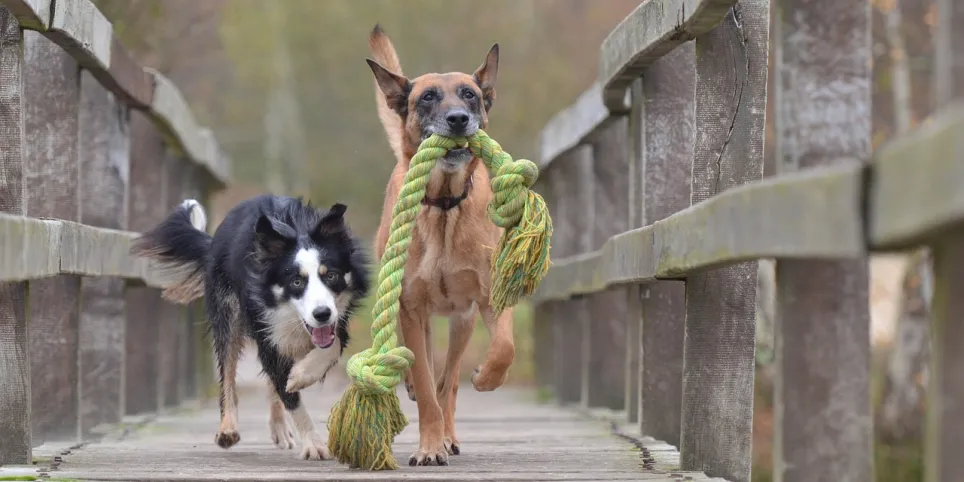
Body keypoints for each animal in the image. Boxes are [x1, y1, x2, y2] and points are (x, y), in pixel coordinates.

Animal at [136, 195, 372, 460]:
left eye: (331, 276)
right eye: (296, 282)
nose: (321, 314)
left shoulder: (338, 319)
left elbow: (331, 346)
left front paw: (301, 375)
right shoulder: (266, 328)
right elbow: (290, 396)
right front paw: (313, 444)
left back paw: (279, 427)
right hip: (227, 312)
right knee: (228, 373)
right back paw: (227, 429)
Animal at [366, 24, 516, 466]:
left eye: (469, 94)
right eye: (428, 97)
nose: (458, 119)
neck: (445, 205)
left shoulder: (489, 299)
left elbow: (503, 347)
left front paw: (486, 378)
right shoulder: (411, 307)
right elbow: (425, 384)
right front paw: (429, 447)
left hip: (462, 321)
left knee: (448, 381)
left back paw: (451, 430)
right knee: (428, 375)